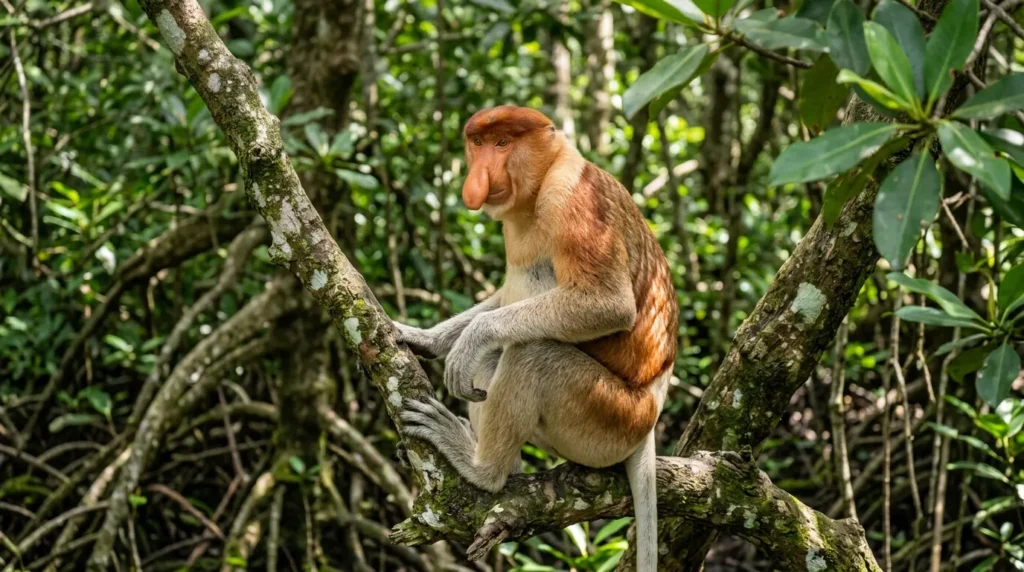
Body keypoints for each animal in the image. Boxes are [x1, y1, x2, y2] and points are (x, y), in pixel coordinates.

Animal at [394, 105, 678, 572]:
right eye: (478, 143)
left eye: (503, 143)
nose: (479, 176)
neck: (542, 181)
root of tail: (652, 414)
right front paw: (423, 338)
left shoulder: (572, 198)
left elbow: (609, 304)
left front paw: (469, 341)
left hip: (611, 418)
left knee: (534, 352)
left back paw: (484, 469)